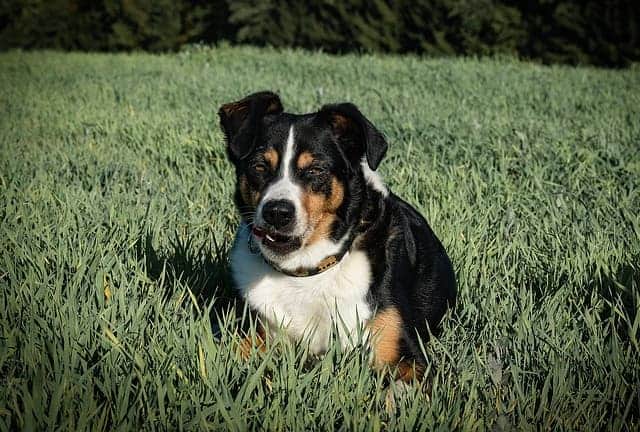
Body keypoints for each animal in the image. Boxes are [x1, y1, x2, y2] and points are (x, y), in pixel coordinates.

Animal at [220, 91, 456, 382]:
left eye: (316, 170)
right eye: (259, 166)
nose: (277, 213)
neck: (306, 272)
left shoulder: (403, 355)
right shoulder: (256, 333)